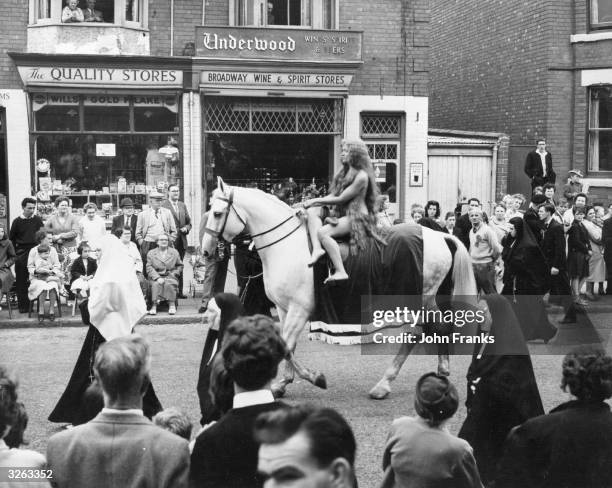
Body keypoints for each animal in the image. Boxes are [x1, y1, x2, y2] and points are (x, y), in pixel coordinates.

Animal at [203, 179, 490, 400]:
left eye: (217, 213)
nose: (206, 251)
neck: (287, 246)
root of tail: (440, 234)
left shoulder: (299, 309)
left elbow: (285, 345)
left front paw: (313, 377)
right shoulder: (285, 309)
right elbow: (286, 346)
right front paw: (282, 383)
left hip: (418, 298)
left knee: (415, 333)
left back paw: (384, 384)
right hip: (429, 298)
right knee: (440, 326)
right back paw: (442, 369)